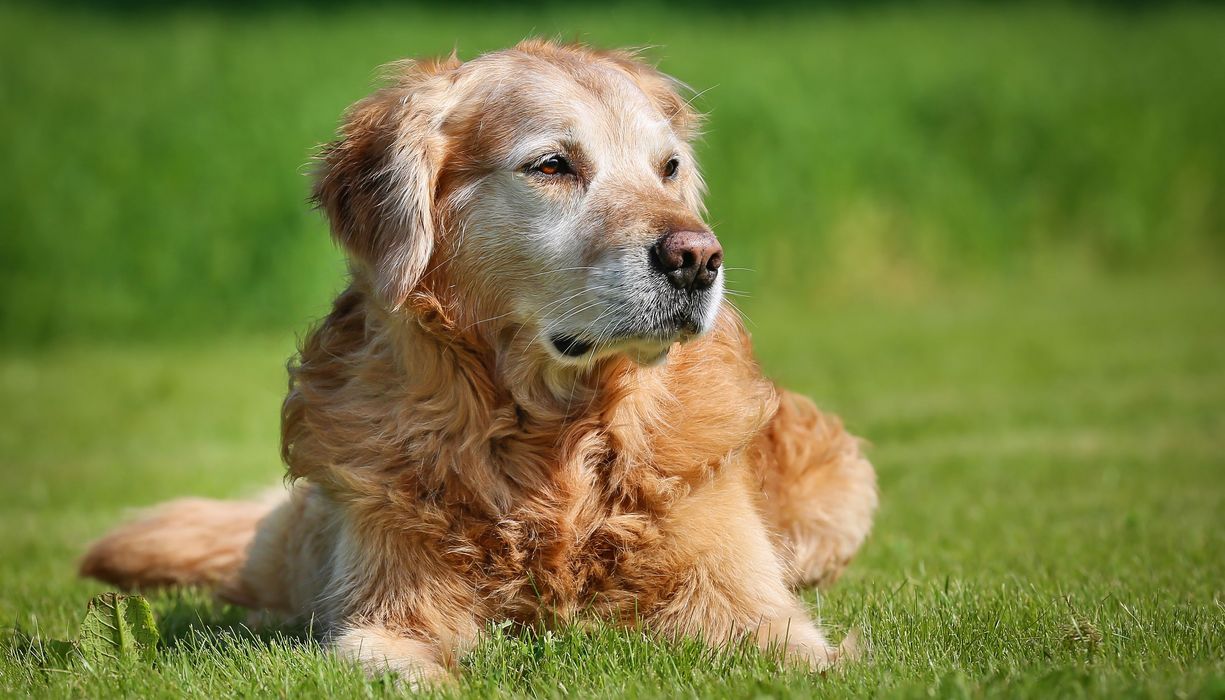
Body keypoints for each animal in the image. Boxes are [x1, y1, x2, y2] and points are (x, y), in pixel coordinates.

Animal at [79, 38, 882, 686]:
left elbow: (803, 650)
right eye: (553, 165)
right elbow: (392, 660)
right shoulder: (386, 608)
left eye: (668, 168)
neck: (549, 439)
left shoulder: (747, 598)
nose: (697, 259)